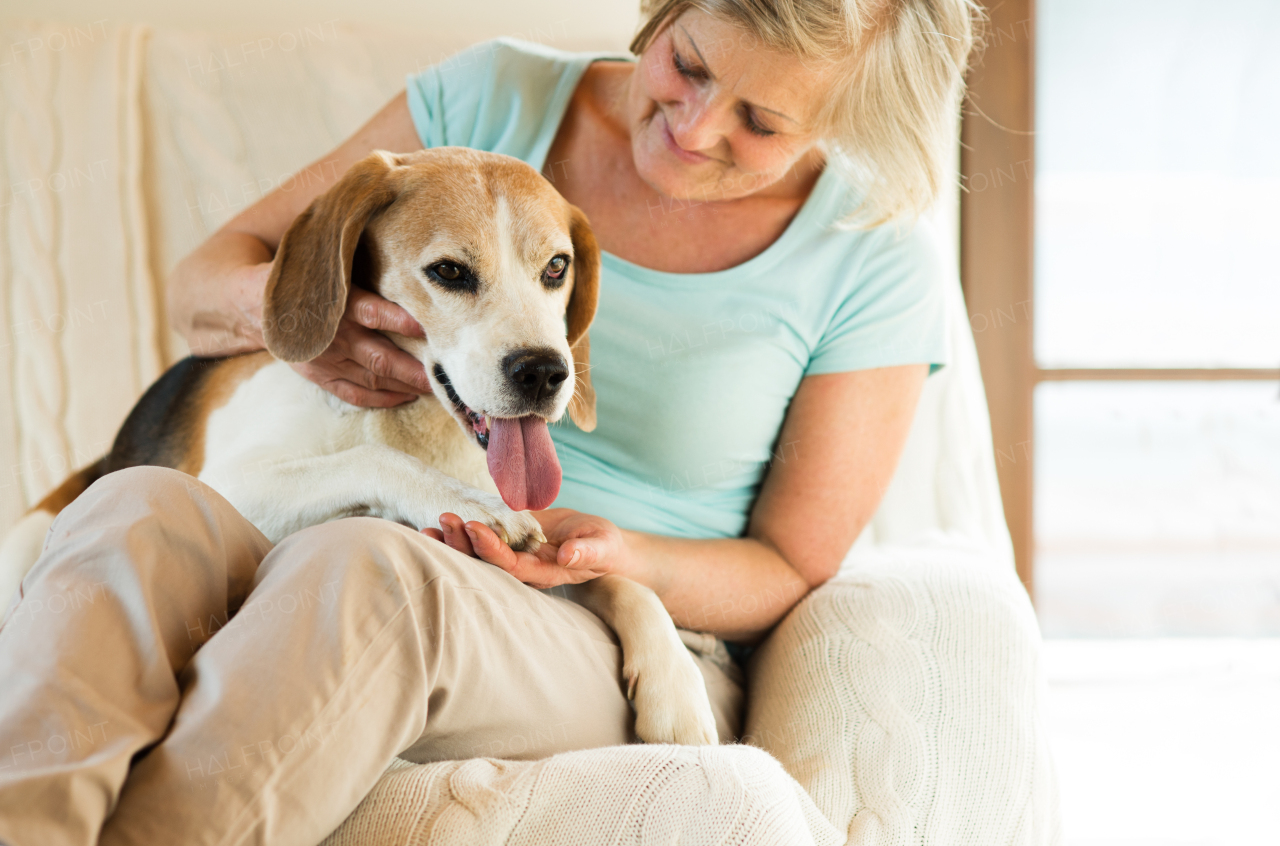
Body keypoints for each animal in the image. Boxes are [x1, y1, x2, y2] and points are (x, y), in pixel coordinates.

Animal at [0, 148, 721, 742]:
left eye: (556, 267)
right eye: (449, 271)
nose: (545, 372)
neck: (414, 422)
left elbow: (620, 578)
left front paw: (678, 695)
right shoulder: (229, 482)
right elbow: (370, 459)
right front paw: (473, 506)